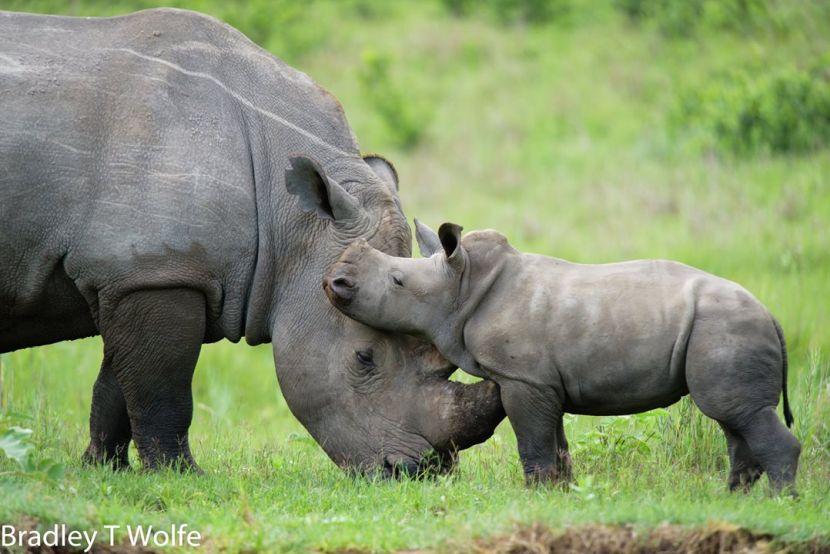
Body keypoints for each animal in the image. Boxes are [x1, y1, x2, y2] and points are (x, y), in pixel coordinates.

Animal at [0, 8, 504, 474]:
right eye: (365, 359)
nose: (420, 471)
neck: (290, 217)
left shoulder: (133, 274)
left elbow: (117, 385)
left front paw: (104, 469)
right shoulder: (157, 272)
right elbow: (160, 387)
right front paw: (180, 474)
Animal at [326, 220, 808, 492]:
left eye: (397, 281)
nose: (336, 281)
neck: (462, 285)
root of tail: (772, 316)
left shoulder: (523, 379)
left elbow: (534, 442)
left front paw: (535, 494)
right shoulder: (543, 382)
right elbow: (556, 442)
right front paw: (563, 494)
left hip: (727, 327)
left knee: (737, 413)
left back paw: (778, 502)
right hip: (724, 330)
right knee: (734, 417)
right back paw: (734, 498)